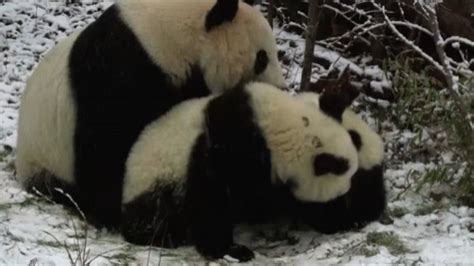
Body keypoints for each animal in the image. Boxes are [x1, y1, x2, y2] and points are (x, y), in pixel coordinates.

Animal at [16, 0, 286, 228]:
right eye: (262, 58)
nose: (281, 88)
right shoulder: (118, 72)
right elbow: (107, 144)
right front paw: (112, 213)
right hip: (44, 157)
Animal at [120, 82, 358, 260]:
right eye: (335, 198)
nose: (340, 221)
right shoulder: (227, 147)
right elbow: (211, 197)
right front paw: (231, 249)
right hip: (156, 179)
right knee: (154, 214)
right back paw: (161, 235)